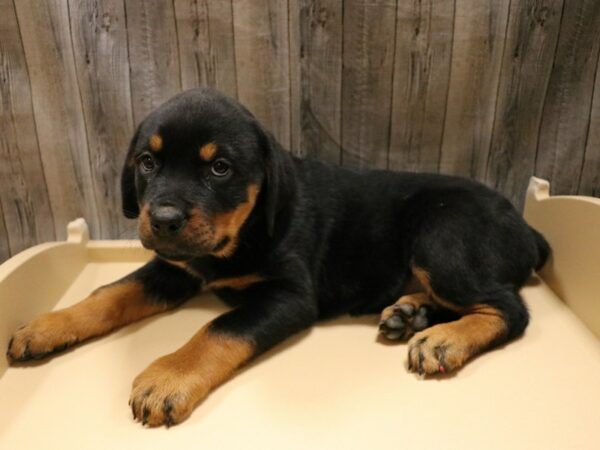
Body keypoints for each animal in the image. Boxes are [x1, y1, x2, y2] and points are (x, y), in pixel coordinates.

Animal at [5, 87, 548, 426]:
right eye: (147, 162)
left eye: (220, 168)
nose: (162, 219)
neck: (236, 240)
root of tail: (527, 227)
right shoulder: (174, 268)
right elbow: (110, 292)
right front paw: (46, 326)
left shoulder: (288, 295)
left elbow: (219, 329)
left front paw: (168, 378)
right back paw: (410, 313)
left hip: (442, 235)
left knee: (508, 307)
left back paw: (443, 339)